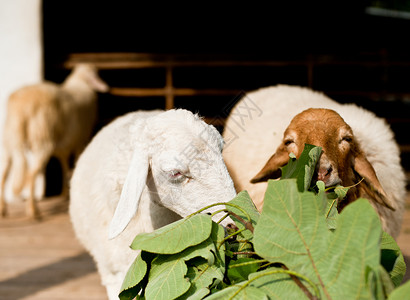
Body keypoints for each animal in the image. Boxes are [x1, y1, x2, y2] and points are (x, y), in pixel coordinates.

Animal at [0, 63, 109, 218]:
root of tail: (21, 108)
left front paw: (64, 194)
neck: (81, 84)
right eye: (95, 74)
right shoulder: (81, 140)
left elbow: (64, 165)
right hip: (42, 138)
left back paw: (3, 209)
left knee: (4, 174)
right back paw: (33, 211)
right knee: (31, 174)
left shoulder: (65, 144)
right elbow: (75, 164)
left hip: (9, 141)